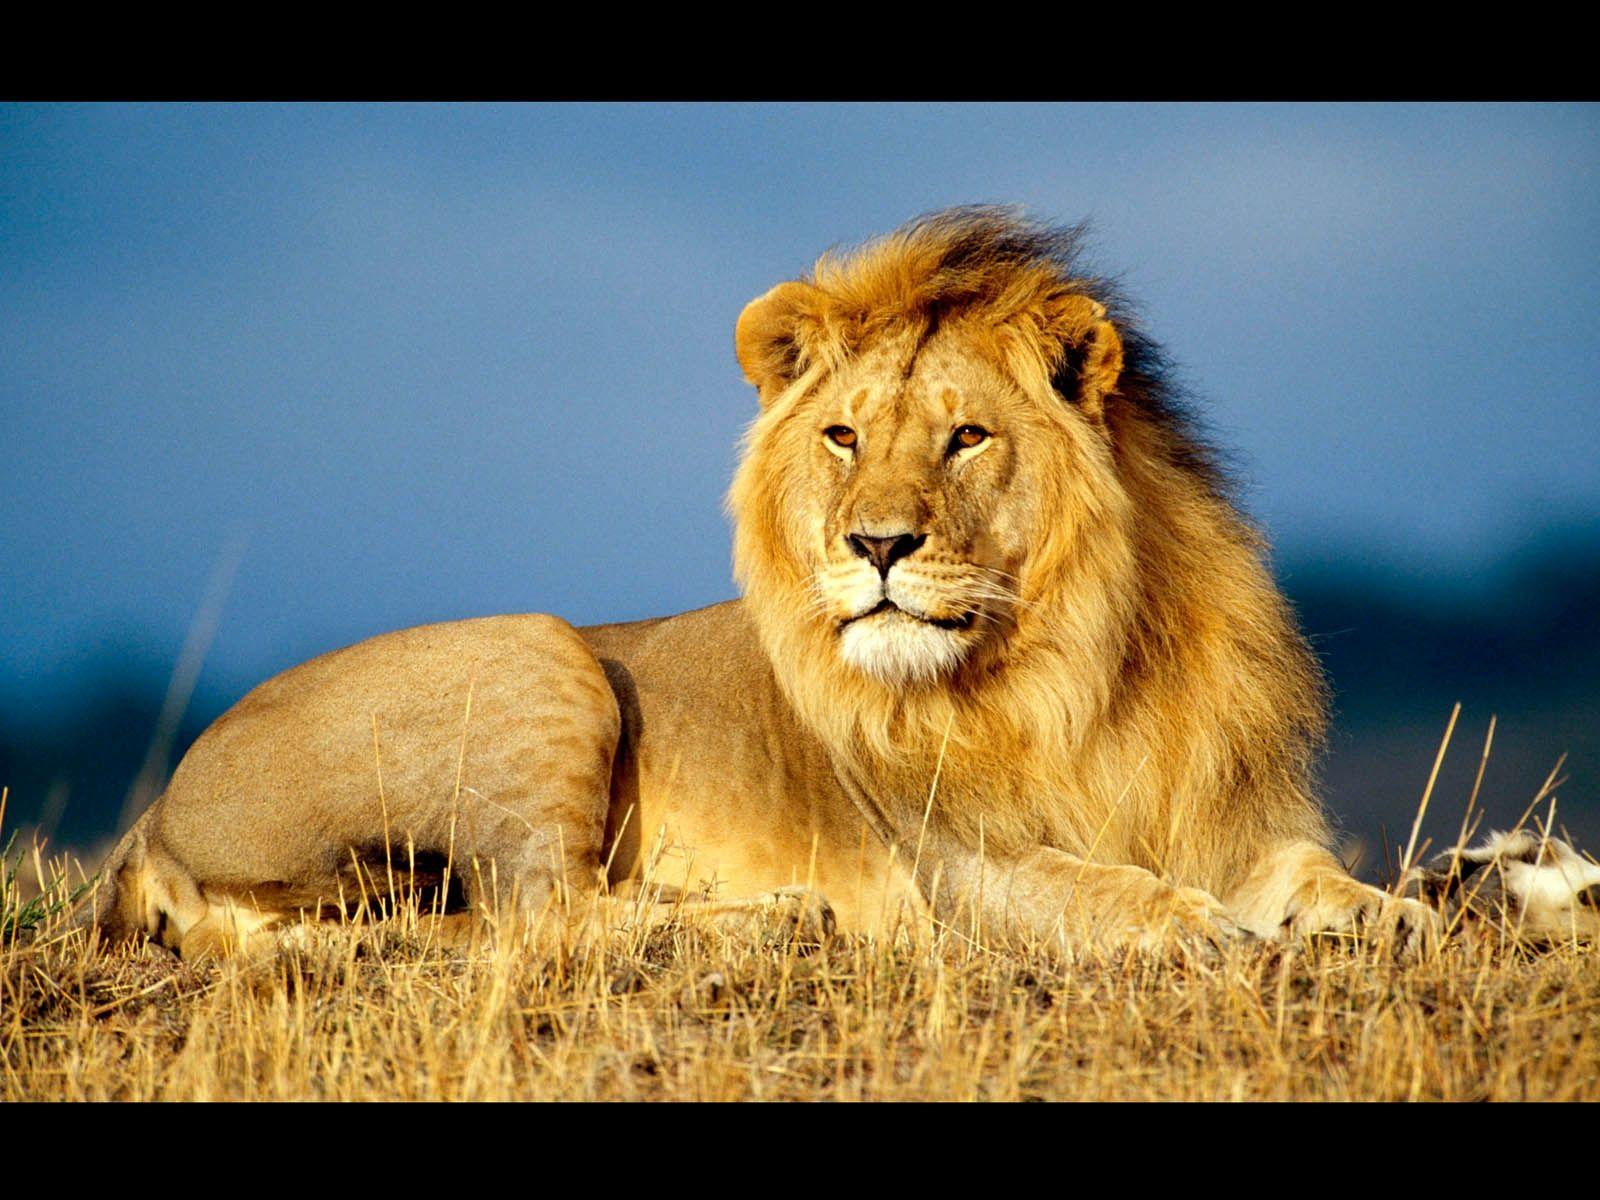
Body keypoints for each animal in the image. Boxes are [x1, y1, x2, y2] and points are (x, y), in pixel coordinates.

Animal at [79, 206, 1441, 959]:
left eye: (965, 438)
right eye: (842, 437)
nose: (877, 546)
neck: (1077, 663)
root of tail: (152, 813)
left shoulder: (1230, 816)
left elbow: (1311, 876)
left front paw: (1400, 914)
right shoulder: (952, 867)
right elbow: (1087, 885)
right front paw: (1186, 924)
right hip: (539, 652)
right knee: (539, 914)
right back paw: (773, 921)